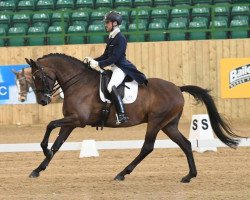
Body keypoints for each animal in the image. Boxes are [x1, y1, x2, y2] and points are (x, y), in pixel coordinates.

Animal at [25, 53, 242, 183]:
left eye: (38, 77)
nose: (43, 100)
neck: (78, 82)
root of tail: (177, 88)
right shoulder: (70, 121)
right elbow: (57, 143)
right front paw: (38, 168)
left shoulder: (78, 120)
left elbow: (50, 125)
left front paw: (43, 150)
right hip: (168, 125)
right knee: (186, 144)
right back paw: (189, 176)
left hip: (156, 122)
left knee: (147, 147)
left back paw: (122, 173)